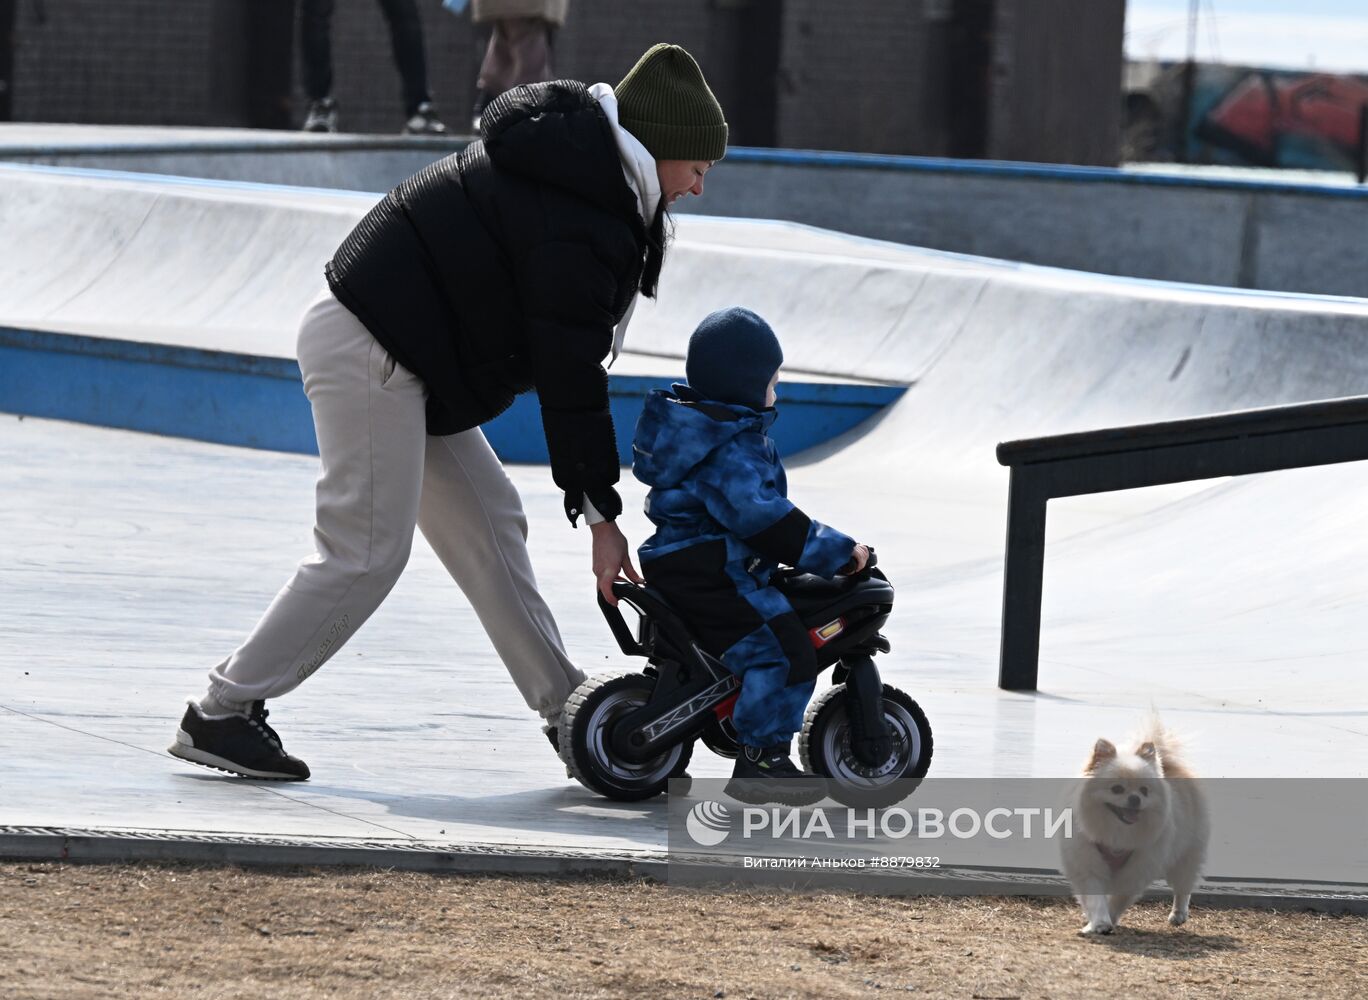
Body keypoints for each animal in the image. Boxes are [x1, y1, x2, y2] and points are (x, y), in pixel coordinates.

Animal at [1056, 722, 1209, 941]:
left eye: (1144, 791)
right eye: (1117, 789)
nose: (1135, 798)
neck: (1117, 832)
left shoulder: (1136, 870)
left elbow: (1117, 900)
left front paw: (1106, 921)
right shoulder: (1088, 864)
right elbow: (1096, 899)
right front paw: (1099, 923)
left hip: (1187, 855)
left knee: (1183, 886)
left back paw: (1178, 914)